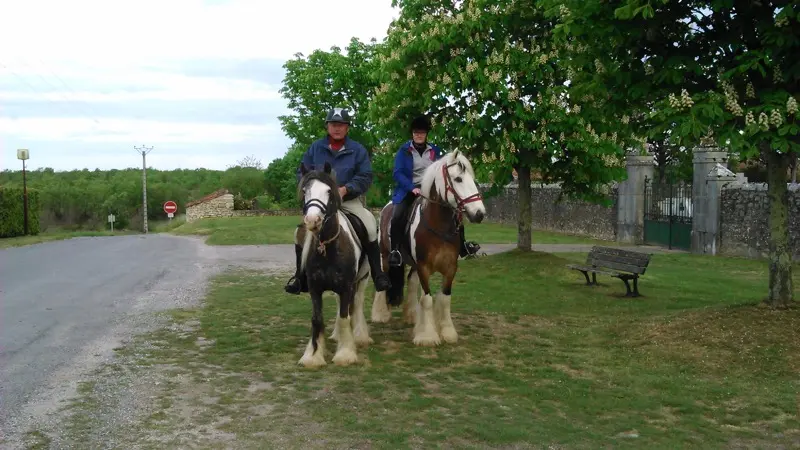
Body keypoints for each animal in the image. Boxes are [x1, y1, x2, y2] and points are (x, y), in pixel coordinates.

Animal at [370, 150, 488, 344]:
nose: (479, 214)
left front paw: (447, 332)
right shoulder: (424, 267)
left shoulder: (450, 267)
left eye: (473, 179)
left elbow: (445, 299)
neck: (438, 226)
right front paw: (427, 337)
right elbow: (427, 300)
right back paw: (380, 314)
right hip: (385, 255)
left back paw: (411, 317)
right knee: (385, 278)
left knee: (411, 281)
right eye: (458, 179)